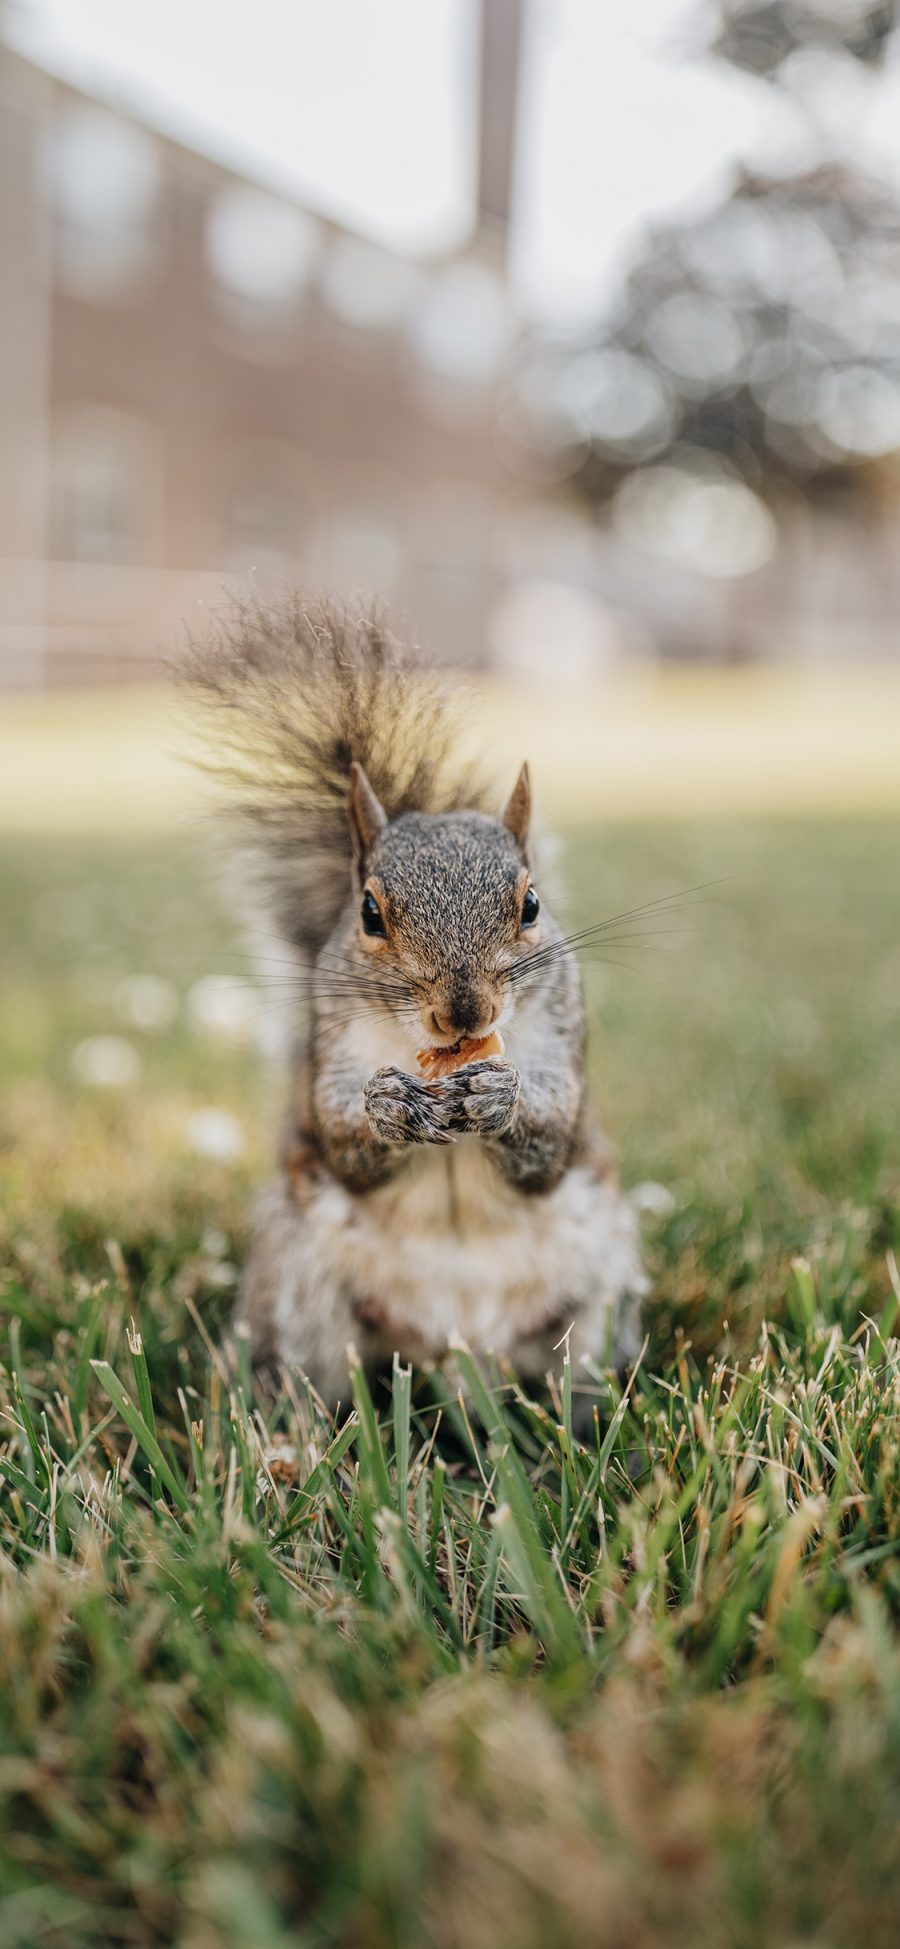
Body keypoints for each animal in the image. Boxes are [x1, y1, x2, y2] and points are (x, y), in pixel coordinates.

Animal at [184, 584, 646, 1411]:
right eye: (369, 912)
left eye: (531, 904)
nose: (464, 1013)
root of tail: (459, 1352)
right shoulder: (330, 1044)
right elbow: (345, 1143)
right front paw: (387, 1105)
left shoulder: (564, 1037)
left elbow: (552, 1143)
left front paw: (500, 1097)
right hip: (301, 1286)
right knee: (312, 1378)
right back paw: (289, 1431)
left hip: (597, 1289)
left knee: (578, 1374)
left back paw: (591, 1425)